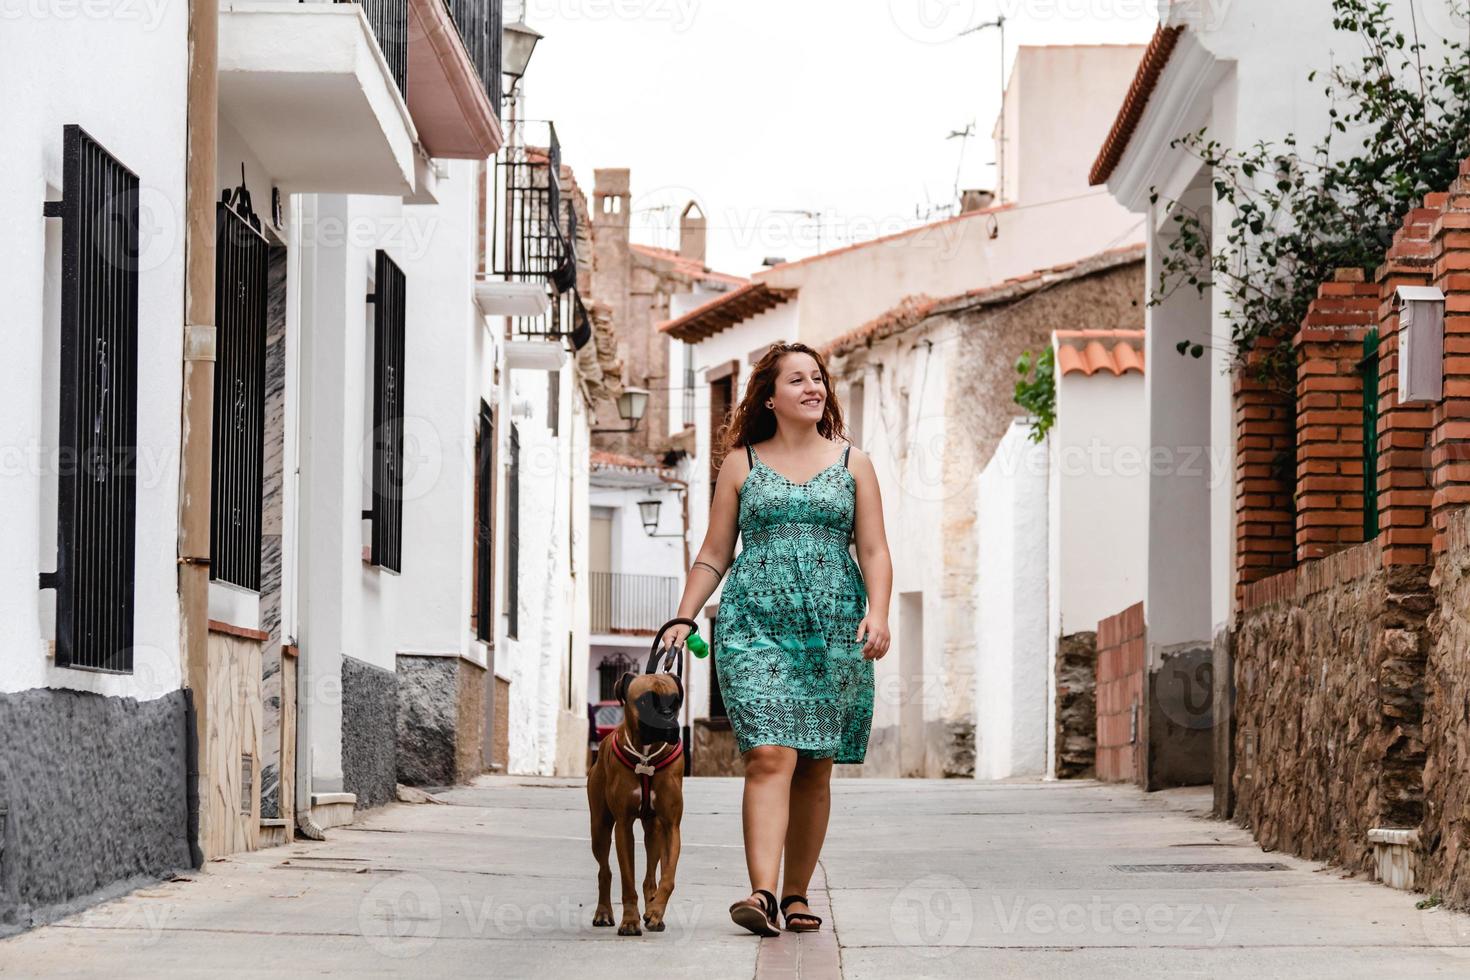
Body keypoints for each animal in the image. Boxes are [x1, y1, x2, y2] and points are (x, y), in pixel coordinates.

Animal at [585, 631, 687, 940]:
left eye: (675, 701)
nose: (668, 720)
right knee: (604, 871)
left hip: (654, 830)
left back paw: (652, 907)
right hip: (600, 827)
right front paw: (629, 921)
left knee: (650, 875)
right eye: (644, 701)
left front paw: (655, 912)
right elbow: (626, 879)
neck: (645, 755)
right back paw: (604, 913)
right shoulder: (623, 825)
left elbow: (667, 876)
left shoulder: (670, 826)